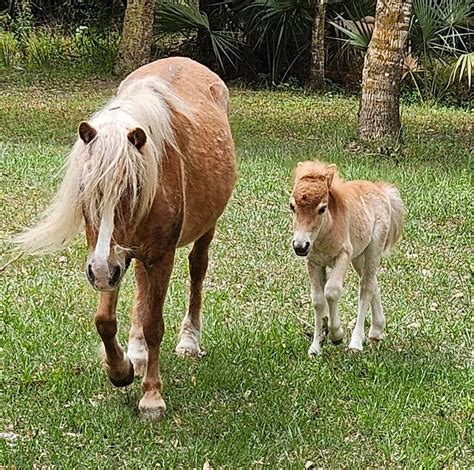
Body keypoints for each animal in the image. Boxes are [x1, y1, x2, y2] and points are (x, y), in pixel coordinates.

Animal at [14, 57, 237, 420]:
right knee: (141, 291)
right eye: (84, 187)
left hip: (204, 230)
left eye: (132, 189)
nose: (102, 272)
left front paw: (152, 396)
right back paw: (136, 352)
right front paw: (121, 369)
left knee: (197, 270)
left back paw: (189, 340)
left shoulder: (157, 256)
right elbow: (105, 320)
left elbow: (154, 326)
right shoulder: (108, 258)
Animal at [288, 162, 404, 356]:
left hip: (373, 247)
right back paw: (375, 332)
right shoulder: (313, 262)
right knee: (372, 281)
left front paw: (336, 335)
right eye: (292, 206)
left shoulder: (343, 255)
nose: (300, 246)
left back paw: (356, 342)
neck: (325, 232)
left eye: (322, 208)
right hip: (358, 256)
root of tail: (381, 190)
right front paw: (316, 346)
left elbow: (332, 291)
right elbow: (318, 300)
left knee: (366, 286)